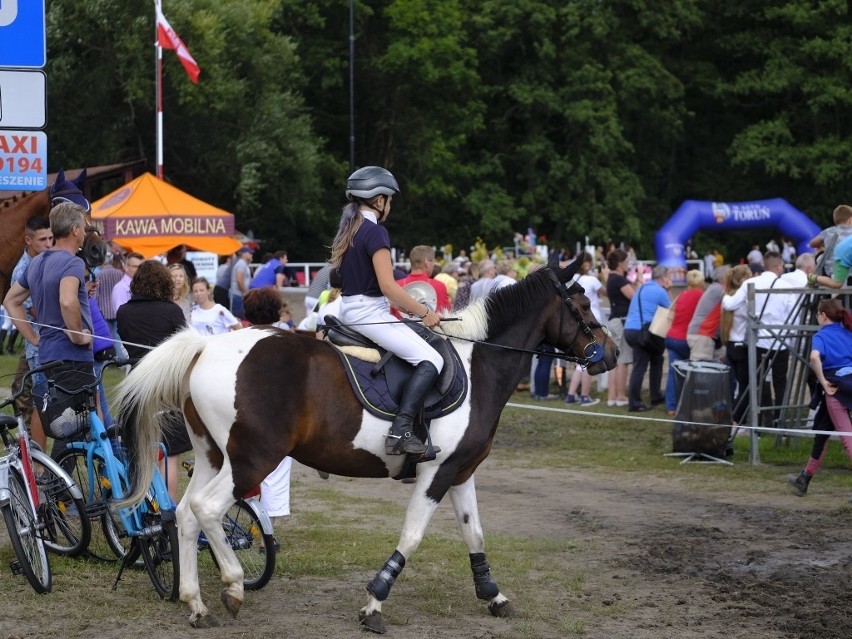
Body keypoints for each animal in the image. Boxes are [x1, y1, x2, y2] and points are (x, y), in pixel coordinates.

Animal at [115, 262, 620, 636]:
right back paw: (235, 587)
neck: (479, 365)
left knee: (184, 514)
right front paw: (374, 604)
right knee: (206, 508)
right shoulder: (436, 474)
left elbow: (475, 534)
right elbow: (412, 537)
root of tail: (205, 347)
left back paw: (196, 605)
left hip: (212, 456)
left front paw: (494, 596)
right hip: (251, 461)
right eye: (581, 305)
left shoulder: (460, 472)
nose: (611, 354)